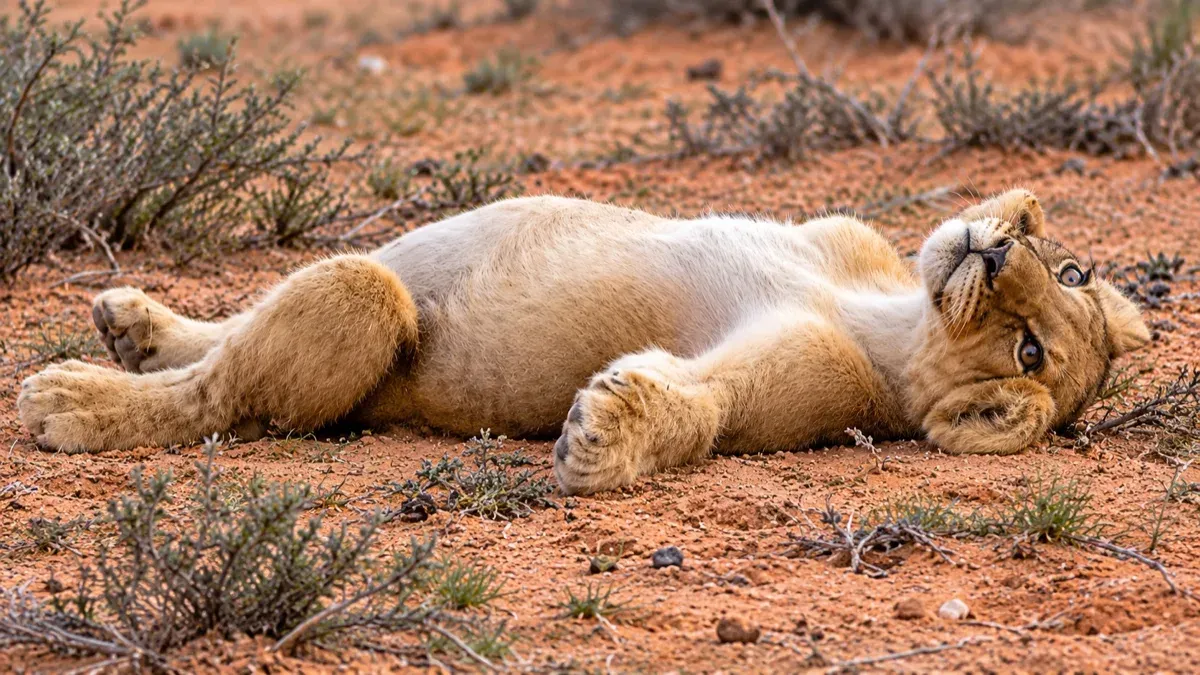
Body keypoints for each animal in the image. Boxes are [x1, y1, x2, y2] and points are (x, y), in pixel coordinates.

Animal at [17, 189, 1149, 494]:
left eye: (1034, 356)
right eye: (1069, 266)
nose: (996, 247)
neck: (882, 310)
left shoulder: (808, 378)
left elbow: (700, 404)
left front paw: (606, 436)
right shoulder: (847, 238)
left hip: (366, 296)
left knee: (219, 394)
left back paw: (68, 396)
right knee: (225, 334)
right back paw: (131, 323)